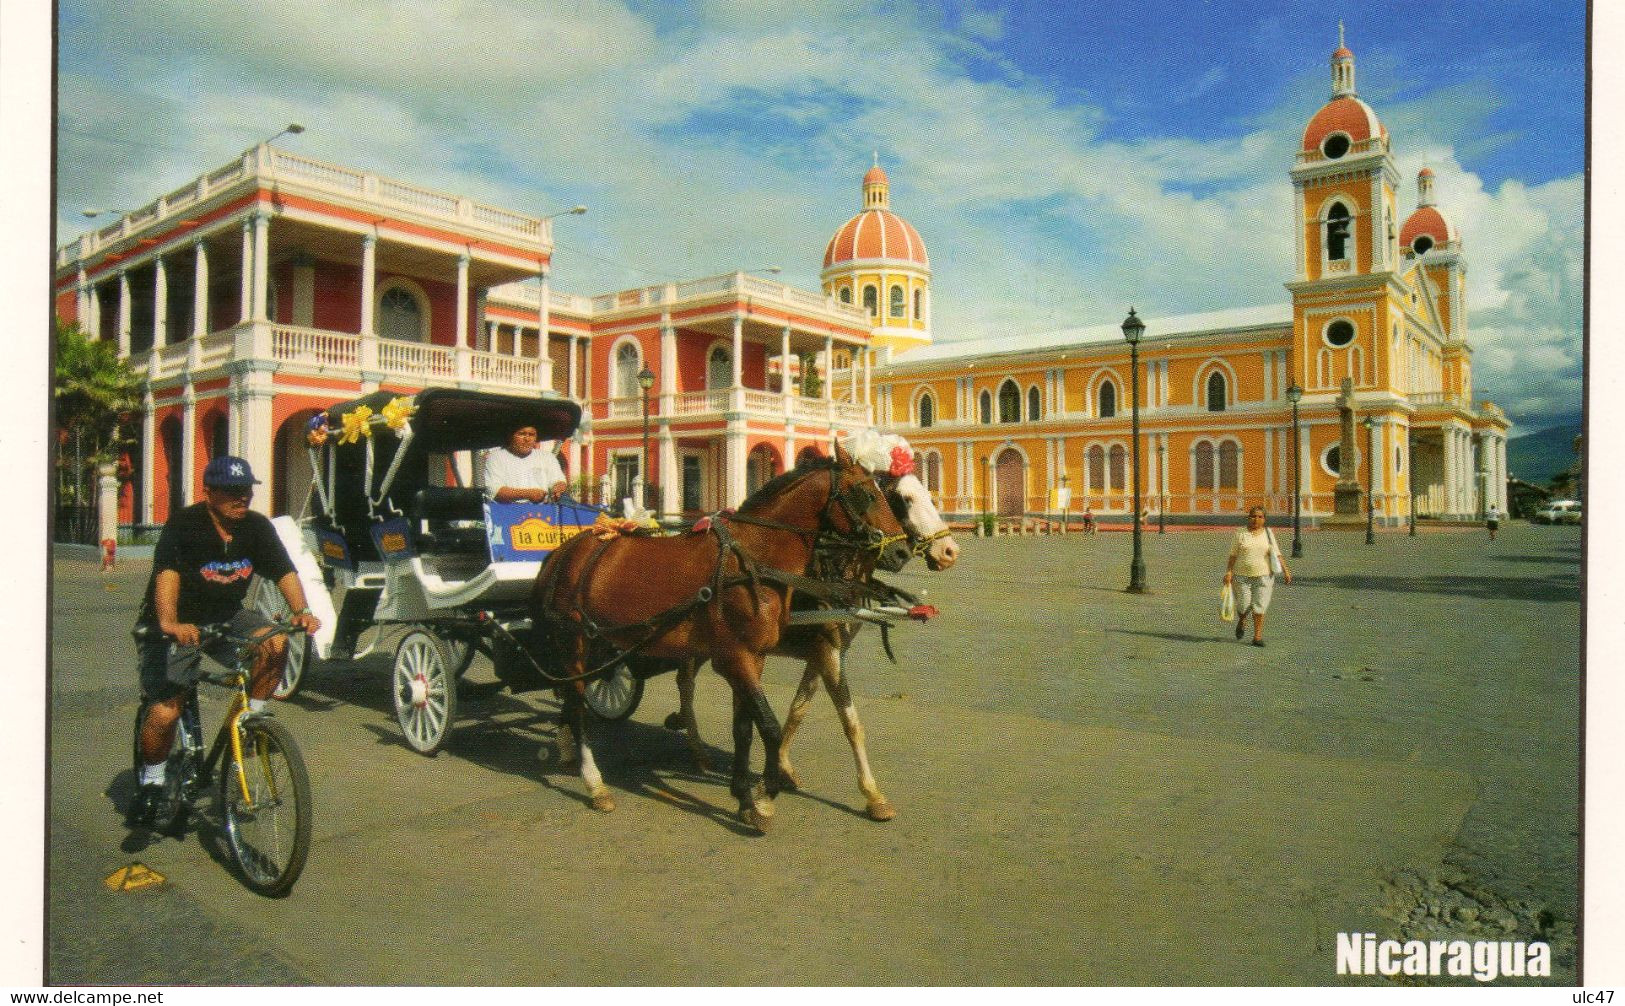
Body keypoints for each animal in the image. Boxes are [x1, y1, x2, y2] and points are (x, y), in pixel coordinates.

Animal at [526, 445, 910, 825]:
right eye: (866, 493)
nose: (902, 551)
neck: (754, 558)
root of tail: (561, 551)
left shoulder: (754, 658)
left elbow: (744, 728)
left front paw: (744, 797)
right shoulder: (735, 657)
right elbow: (769, 726)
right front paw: (766, 797)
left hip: (598, 640)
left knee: (573, 694)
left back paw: (568, 750)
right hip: (571, 639)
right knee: (577, 703)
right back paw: (594, 783)